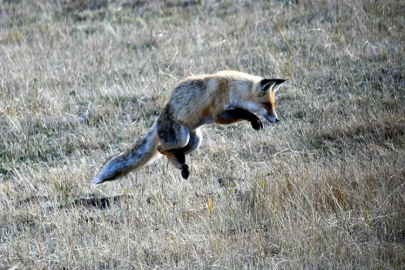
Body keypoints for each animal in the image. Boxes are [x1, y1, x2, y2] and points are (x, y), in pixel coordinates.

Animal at [93, 70, 286, 186]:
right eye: (267, 105)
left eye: (273, 104)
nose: (277, 119)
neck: (232, 88)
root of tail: (158, 121)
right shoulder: (218, 115)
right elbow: (243, 112)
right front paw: (254, 120)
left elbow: (243, 110)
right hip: (181, 138)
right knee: (160, 148)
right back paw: (178, 163)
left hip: (195, 141)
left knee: (174, 152)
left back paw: (181, 165)